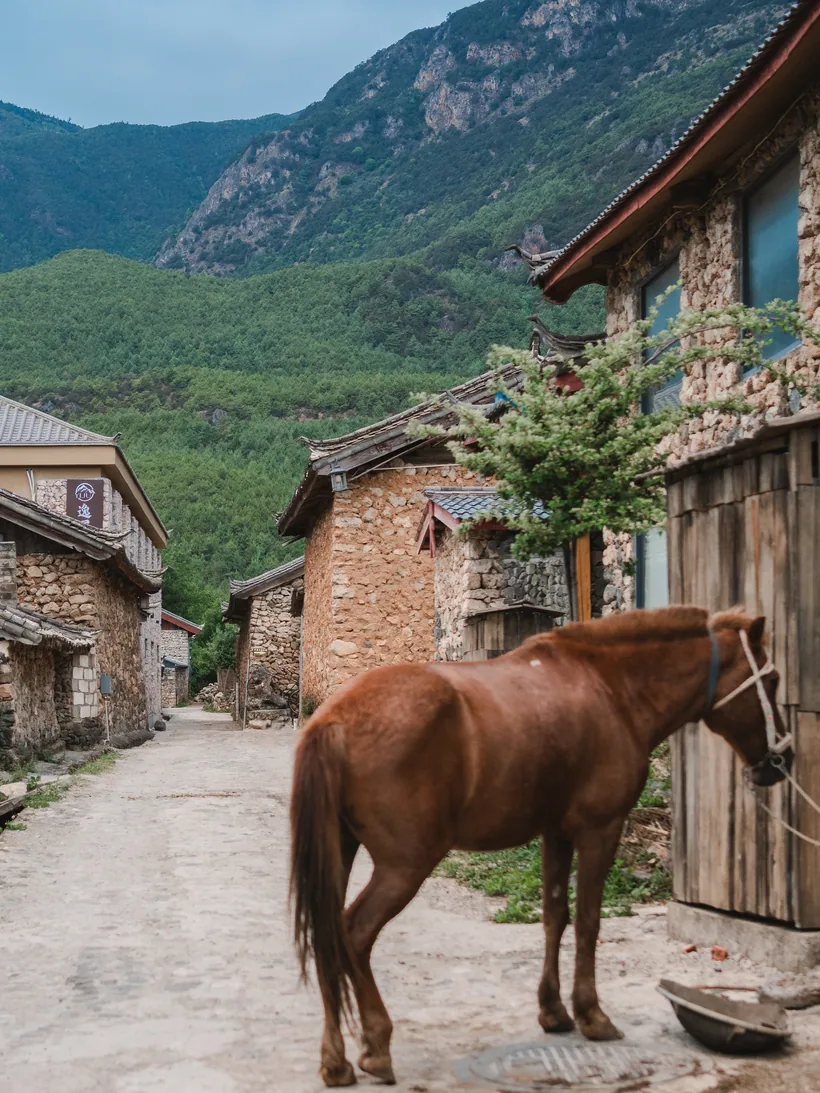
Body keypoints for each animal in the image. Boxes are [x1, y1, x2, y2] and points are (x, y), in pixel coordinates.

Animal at [290, 606, 792, 1087]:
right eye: (771, 681)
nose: (781, 760)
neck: (612, 689)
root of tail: (334, 718)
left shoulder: (556, 833)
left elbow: (555, 916)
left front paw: (553, 1012)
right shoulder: (600, 830)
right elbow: (588, 921)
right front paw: (591, 1014)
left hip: (341, 854)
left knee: (329, 934)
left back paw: (336, 1062)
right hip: (404, 867)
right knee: (354, 932)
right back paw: (376, 1045)